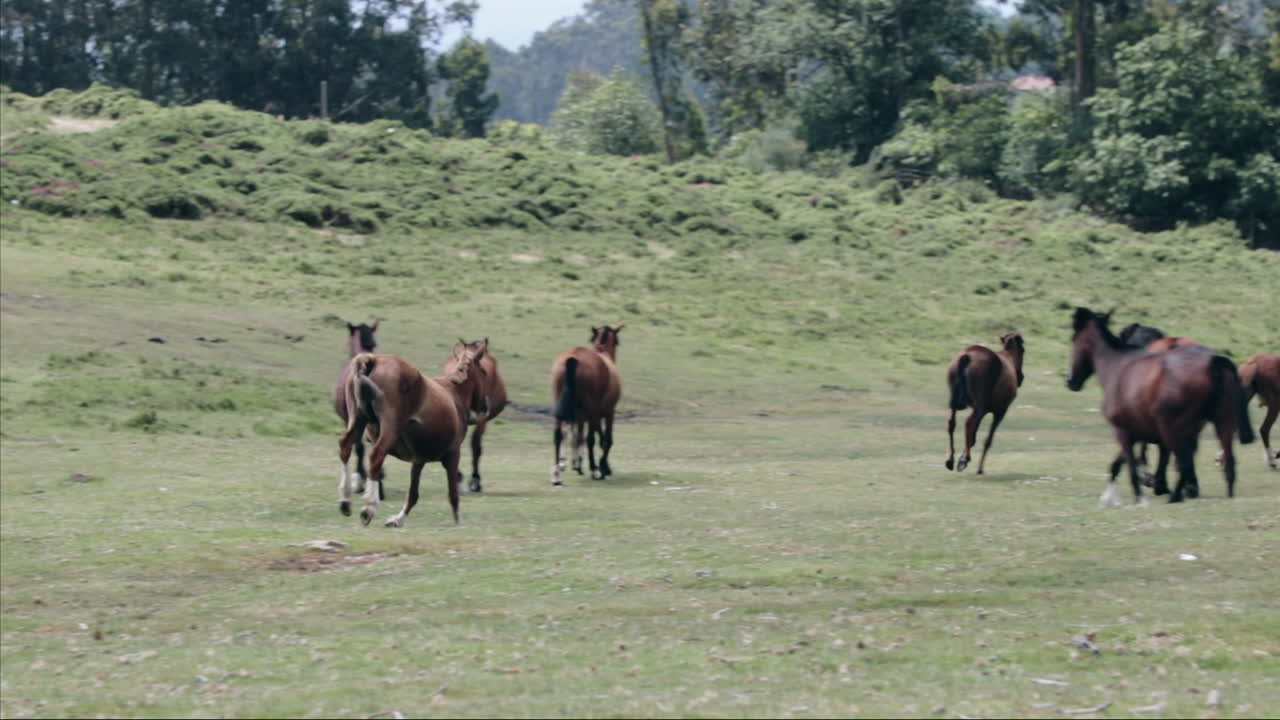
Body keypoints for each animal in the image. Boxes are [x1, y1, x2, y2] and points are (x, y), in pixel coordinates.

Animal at [337, 342, 488, 527]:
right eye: (484, 372)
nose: (485, 406)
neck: (455, 393)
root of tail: (372, 360)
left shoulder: (419, 460)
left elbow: (413, 494)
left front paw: (397, 520)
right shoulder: (453, 454)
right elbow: (453, 493)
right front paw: (459, 521)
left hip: (357, 419)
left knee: (345, 445)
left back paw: (345, 500)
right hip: (389, 429)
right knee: (376, 455)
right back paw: (369, 507)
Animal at [443, 338, 509, 492]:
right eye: (483, 372)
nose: (484, 405)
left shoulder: (480, 419)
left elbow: (474, 445)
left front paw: (470, 479)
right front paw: (472, 479)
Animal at [550, 325, 624, 485]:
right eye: (616, 342)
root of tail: (573, 358)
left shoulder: (583, 416)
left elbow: (580, 437)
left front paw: (578, 464)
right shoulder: (608, 412)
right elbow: (605, 439)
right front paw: (603, 467)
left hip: (561, 404)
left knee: (558, 434)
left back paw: (557, 474)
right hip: (591, 409)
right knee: (590, 439)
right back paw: (594, 469)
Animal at [944, 331, 1025, 474]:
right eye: (1023, 350)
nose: (1021, 377)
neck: (1009, 358)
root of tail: (967, 356)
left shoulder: (982, 410)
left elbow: (973, 437)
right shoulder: (1000, 411)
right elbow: (987, 439)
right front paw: (978, 467)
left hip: (958, 403)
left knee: (951, 423)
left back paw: (951, 459)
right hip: (980, 405)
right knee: (968, 423)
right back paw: (964, 460)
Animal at [1065, 307, 1253, 505]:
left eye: (1073, 339)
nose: (1069, 380)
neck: (1115, 366)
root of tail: (1213, 361)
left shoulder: (1124, 431)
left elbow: (1131, 466)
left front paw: (1140, 494)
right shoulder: (1137, 431)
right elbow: (1118, 464)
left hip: (1172, 428)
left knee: (1184, 461)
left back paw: (1174, 495)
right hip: (1221, 424)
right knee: (1227, 464)